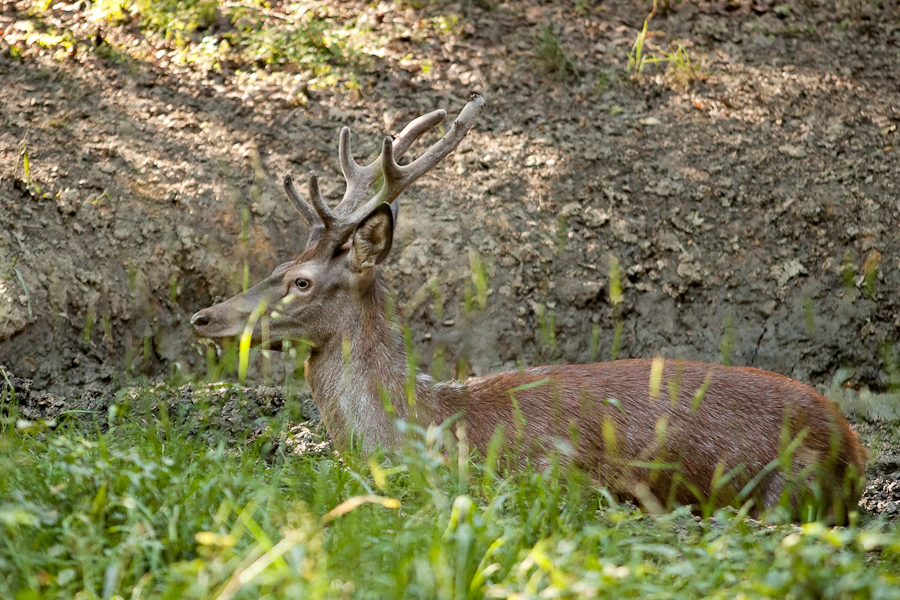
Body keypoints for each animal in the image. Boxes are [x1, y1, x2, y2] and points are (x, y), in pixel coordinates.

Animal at [193, 95, 868, 520]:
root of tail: (852, 444)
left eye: (301, 282)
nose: (203, 318)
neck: (434, 431)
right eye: (279, 267)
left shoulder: (557, 479)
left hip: (786, 492)